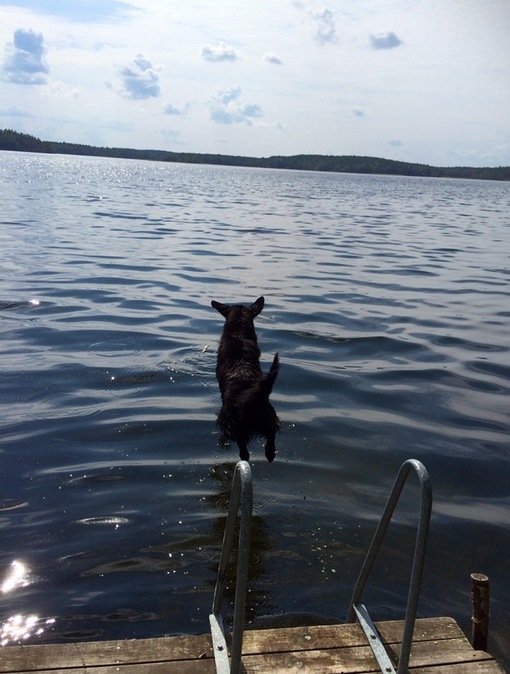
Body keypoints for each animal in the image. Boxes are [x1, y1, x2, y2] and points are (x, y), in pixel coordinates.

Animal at [210, 296, 278, 462]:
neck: (239, 335)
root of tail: (254, 398)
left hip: (234, 427)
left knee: (244, 451)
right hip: (270, 418)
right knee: (271, 438)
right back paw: (270, 454)